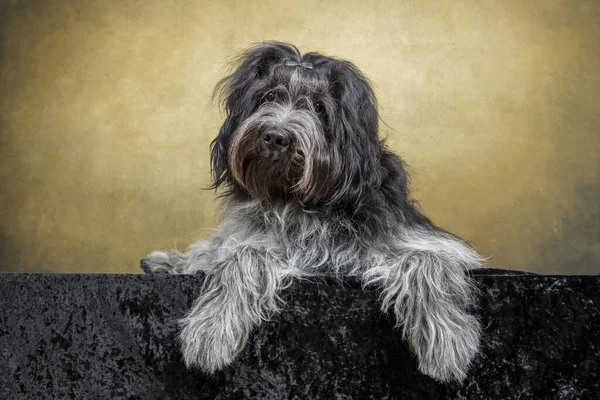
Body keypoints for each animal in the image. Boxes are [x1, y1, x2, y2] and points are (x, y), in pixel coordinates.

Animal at [141, 42, 482, 382]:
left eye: (319, 107)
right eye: (269, 96)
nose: (275, 137)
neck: (303, 202)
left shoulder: (420, 241)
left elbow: (428, 262)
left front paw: (447, 340)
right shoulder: (267, 243)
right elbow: (241, 256)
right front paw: (212, 329)